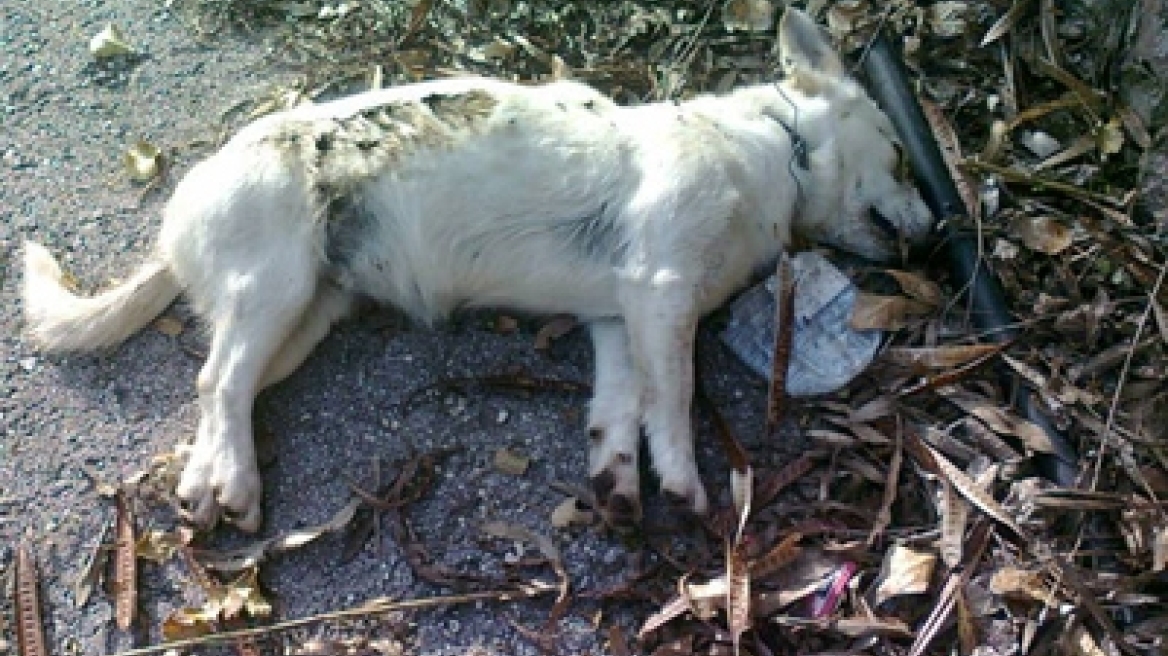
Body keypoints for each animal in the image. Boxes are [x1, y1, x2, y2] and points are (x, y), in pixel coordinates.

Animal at [20, 7, 929, 532]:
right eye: (899, 153)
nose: (940, 224)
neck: (777, 147)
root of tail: (178, 219)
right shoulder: (664, 292)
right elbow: (673, 398)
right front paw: (682, 482)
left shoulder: (619, 318)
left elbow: (619, 406)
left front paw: (618, 485)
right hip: (274, 287)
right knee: (217, 380)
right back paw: (237, 484)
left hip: (304, 317)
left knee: (222, 391)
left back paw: (209, 483)